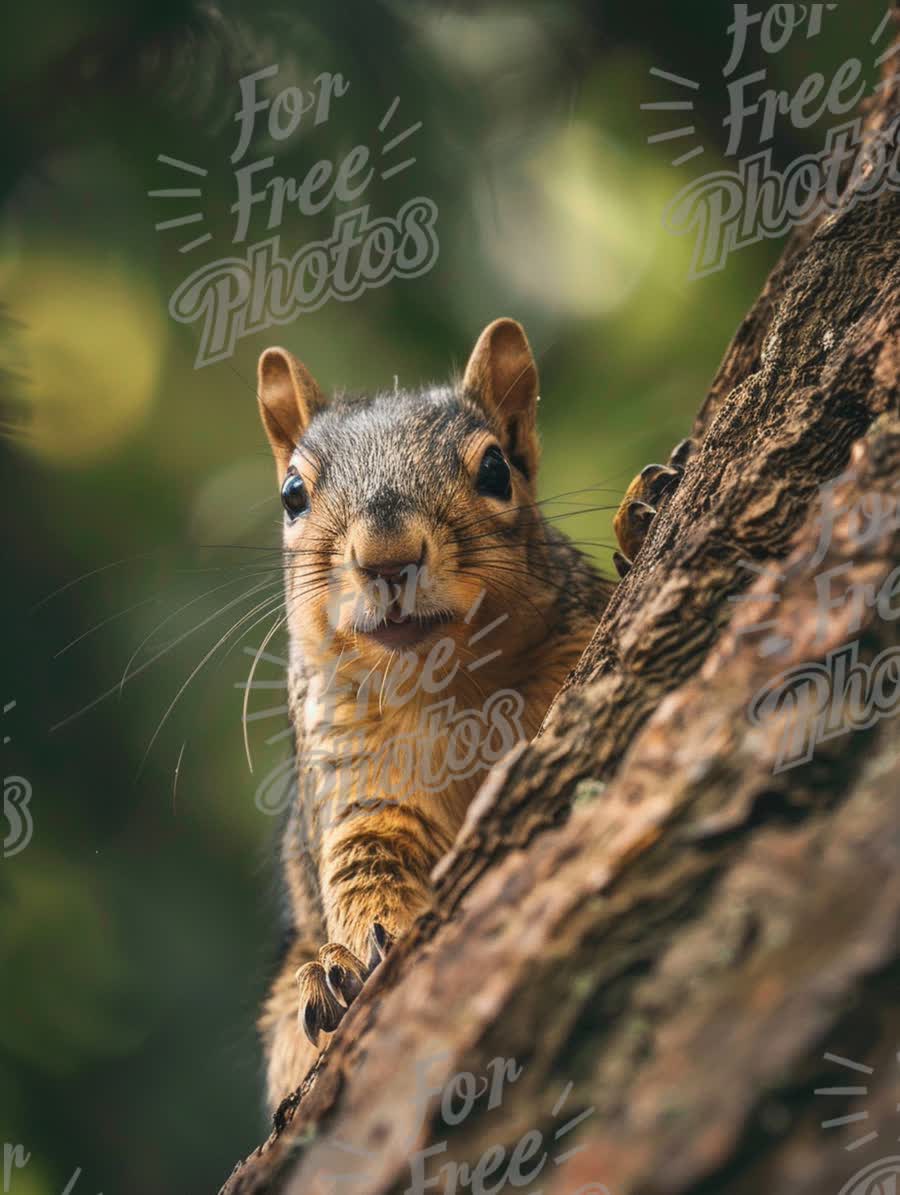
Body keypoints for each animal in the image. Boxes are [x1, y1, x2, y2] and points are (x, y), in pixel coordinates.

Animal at [249, 320, 678, 1108]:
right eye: (293, 493)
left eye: (496, 471)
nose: (387, 558)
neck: (448, 687)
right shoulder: (350, 773)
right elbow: (364, 861)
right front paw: (357, 954)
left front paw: (640, 520)